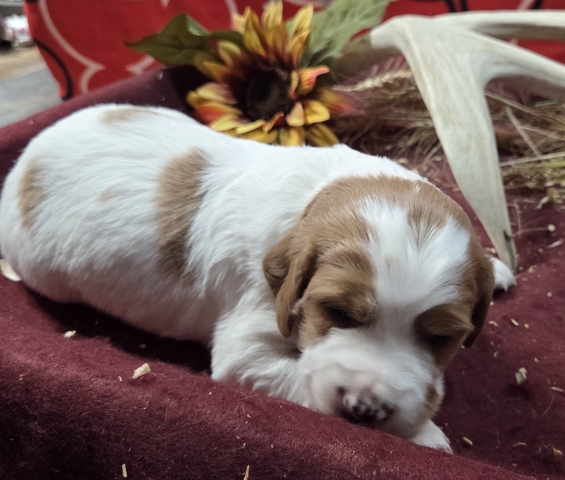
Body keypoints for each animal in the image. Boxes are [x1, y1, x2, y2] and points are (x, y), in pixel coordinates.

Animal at [0, 104, 515, 452]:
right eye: (336, 311)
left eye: (441, 337)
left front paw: (498, 267)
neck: (316, 197)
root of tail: (23, 161)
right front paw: (427, 436)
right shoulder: (246, 342)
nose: (366, 408)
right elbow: (300, 381)